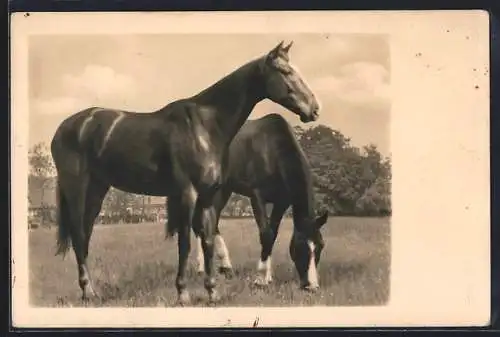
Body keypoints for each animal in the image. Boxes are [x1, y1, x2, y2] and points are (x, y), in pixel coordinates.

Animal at [185, 112, 328, 288]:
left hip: (224, 189)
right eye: (300, 246)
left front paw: (267, 276)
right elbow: (266, 234)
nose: (311, 286)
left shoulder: (282, 202)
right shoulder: (257, 197)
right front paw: (260, 279)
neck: (272, 150)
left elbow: (273, 234)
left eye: (321, 245)